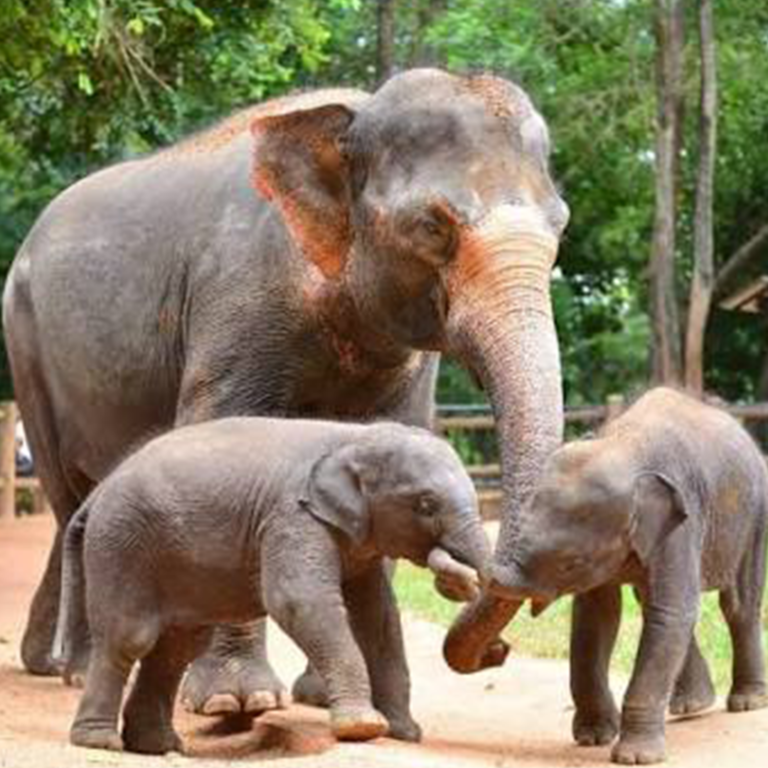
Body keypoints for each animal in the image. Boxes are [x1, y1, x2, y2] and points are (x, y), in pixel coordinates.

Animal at [2, 67, 570, 715]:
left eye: (561, 226)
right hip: (25, 346)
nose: (493, 650)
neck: (347, 117)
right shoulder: (240, 297)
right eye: (432, 226)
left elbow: (391, 443)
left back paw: (48, 663)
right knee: (66, 490)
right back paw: (77, 669)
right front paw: (236, 702)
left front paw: (320, 698)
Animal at [55, 417, 490, 753]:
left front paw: (404, 734)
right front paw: (363, 728)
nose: (460, 581)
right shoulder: (292, 517)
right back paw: (100, 743)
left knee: (176, 648)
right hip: (122, 544)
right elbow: (298, 602)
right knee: (130, 637)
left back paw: (159, 747)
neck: (354, 436)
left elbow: (378, 617)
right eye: (425, 504)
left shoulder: (357, 535)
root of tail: (98, 491)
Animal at [492, 388, 768, 764]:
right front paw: (593, 738)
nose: (499, 649)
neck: (623, 446)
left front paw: (635, 758)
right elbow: (598, 616)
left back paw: (747, 702)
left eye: (571, 563)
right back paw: (692, 705)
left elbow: (670, 612)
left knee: (737, 605)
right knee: (654, 603)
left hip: (755, 515)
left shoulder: (682, 523)